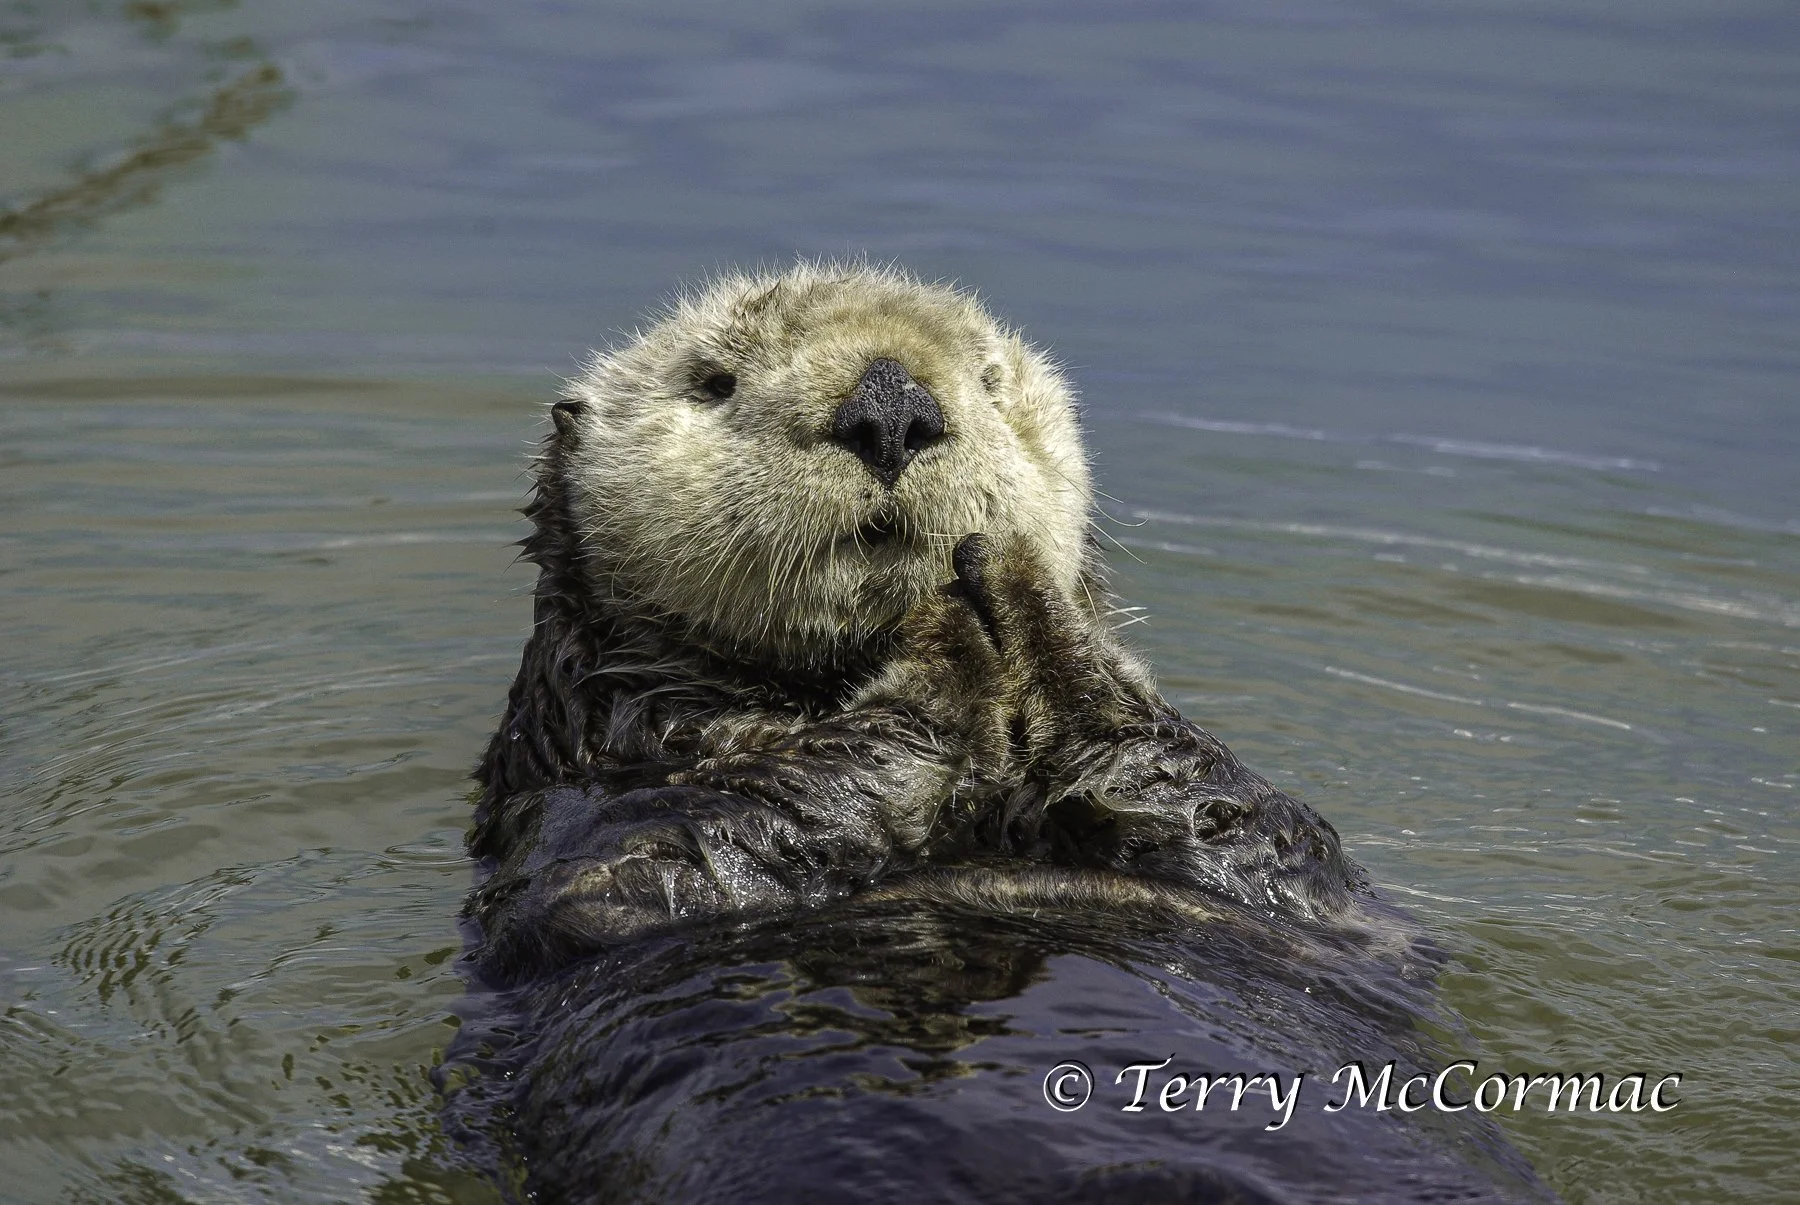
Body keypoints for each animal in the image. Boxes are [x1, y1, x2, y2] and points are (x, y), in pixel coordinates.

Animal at [446, 263, 1555, 1204]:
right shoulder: (582, 822)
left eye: (988, 379)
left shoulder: (1338, 912)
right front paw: (947, 637)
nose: (891, 406)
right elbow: (650, 867)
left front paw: (1027, 594)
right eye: (712, 381)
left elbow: (1268, 840)